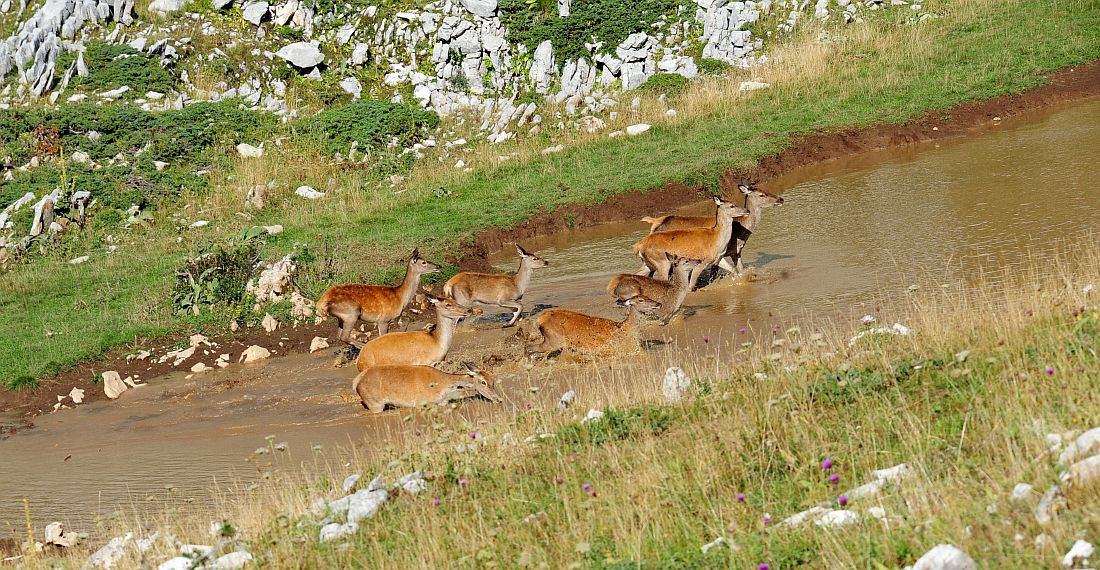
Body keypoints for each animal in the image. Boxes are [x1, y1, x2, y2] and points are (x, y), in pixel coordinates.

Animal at [352, 365, 503, 413]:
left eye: (492, 381)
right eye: (483, 382)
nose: (498, 399)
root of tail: (356, 381)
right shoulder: (422, 403)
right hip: (375, 404)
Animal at [525, 297, 660, 354]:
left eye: (647, 296)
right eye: (641, 300)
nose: (658, 304)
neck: (621, 328)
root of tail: (538, 320)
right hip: (554, 340)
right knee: (531, 347)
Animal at [638, 180, 783, 276]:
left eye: (766, 190)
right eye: (762, 195)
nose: (781, 199)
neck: (741, 230)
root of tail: (655, 223)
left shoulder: (736, 252)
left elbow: (740, 270)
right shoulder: (719, 254)